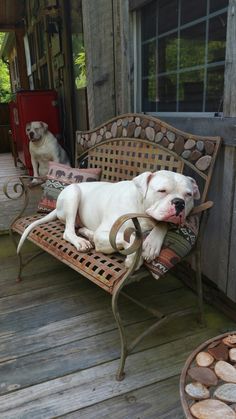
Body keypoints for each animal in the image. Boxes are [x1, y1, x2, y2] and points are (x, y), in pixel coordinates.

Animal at [17, 171, 200, 268]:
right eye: (162, 191)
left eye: (188, 194)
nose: (179, 203)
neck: (141, 209)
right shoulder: (105, 233)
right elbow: (132, 236)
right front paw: (134, 257)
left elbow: (161, 225)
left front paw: (151, 244)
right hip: (73, 194)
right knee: (68, 231)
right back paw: (80, 240)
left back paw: (86, 233)